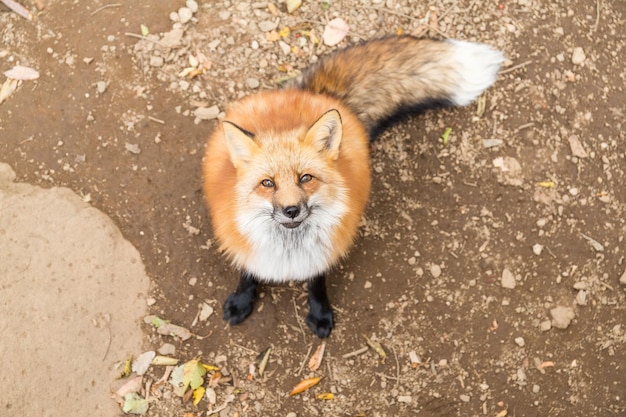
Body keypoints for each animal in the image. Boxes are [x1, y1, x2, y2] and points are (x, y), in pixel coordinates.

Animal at [202, 34, 504, 336]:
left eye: (305, 178)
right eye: (267, 183)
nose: (291, 210)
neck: (290, 249)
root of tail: (317, 94)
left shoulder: (326, 248)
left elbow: (317, 284)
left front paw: (320, 314)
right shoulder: (241, 241)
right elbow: (247, 274)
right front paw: (241, 301)